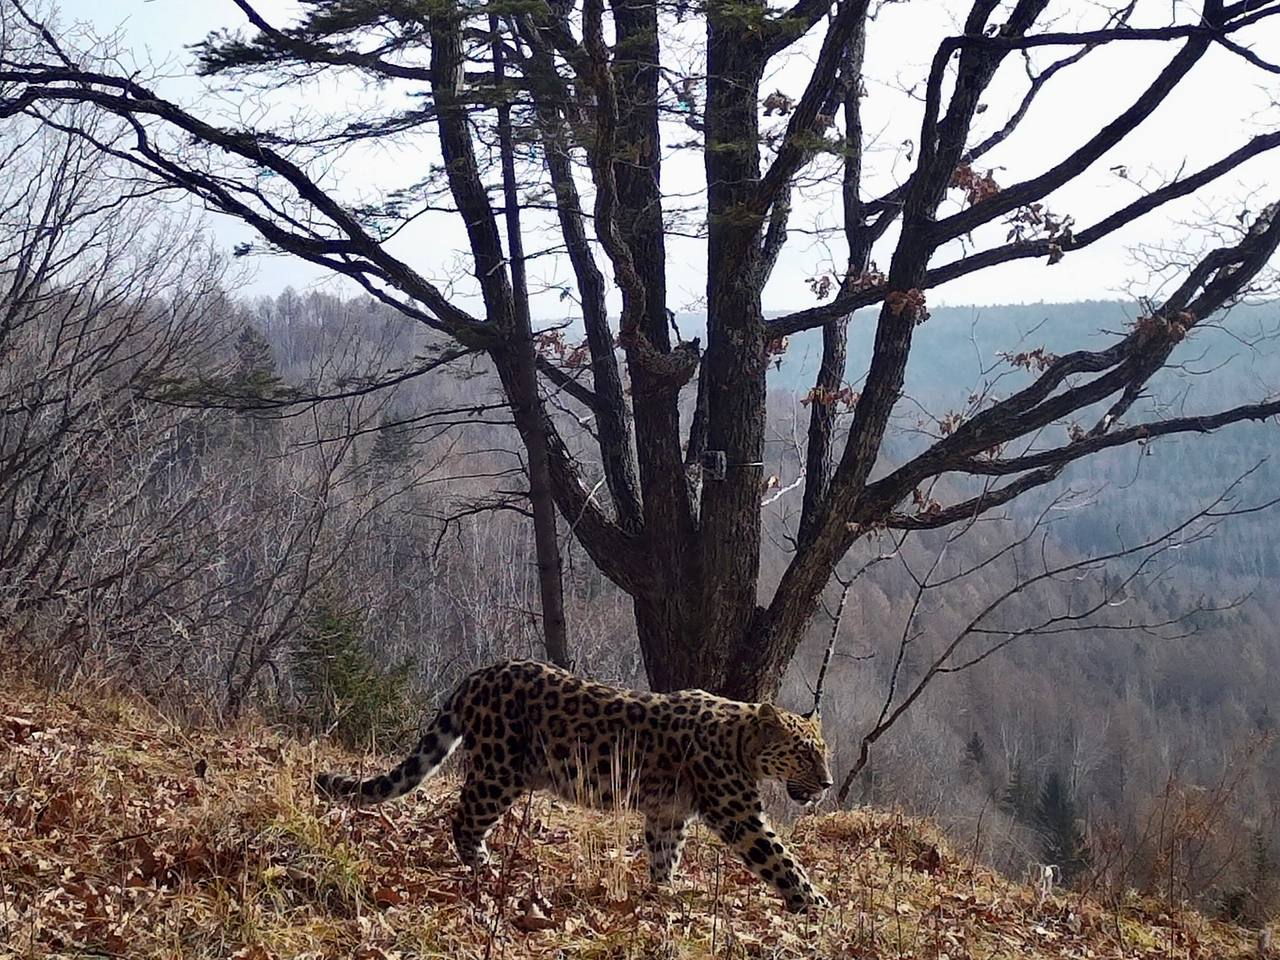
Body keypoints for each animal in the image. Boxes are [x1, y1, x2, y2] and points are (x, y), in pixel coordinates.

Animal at [314, 660, 834, 911]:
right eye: (805, 753)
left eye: (824, 752)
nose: (828, 783)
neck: (741, 738)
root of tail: (477, 675)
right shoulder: (739, 816)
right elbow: (783, 861)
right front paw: (817, 906)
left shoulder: (668, 814)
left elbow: (664, 854)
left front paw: (662, 894)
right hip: (501, 770)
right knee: (462, 818)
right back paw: (486, 869)